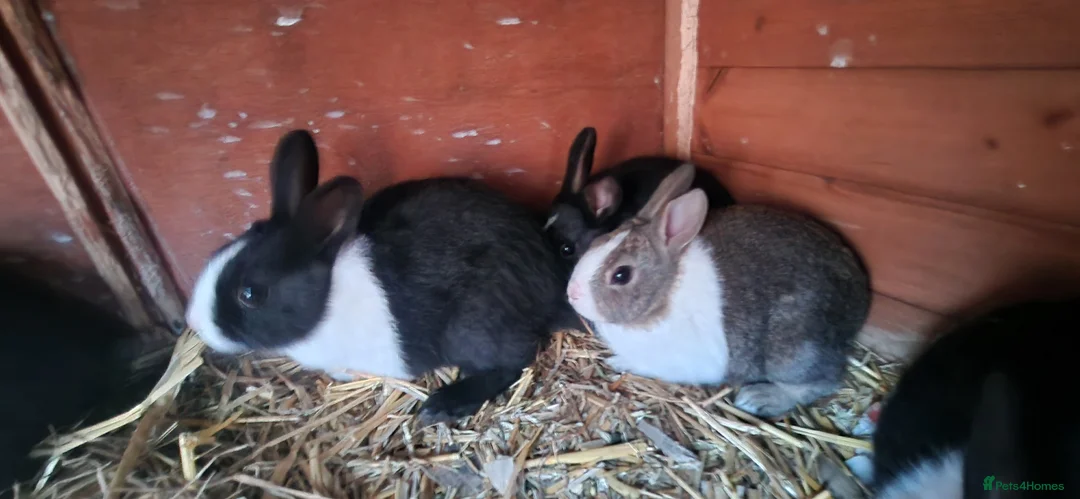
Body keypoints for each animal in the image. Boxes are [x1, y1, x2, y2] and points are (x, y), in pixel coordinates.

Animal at [185, 129, 574, 426]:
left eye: (251, 294)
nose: (195, 324)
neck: (328, 299)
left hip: (476, 325)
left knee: (511, 363)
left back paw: (443, 405)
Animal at [564, 163, 871, 418]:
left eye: (621, 275)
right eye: (600, 240)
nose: (572, 292)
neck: (663, 293)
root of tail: (861, 294)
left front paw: (620, 362)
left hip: (793, 349)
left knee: (822, 380)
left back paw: (759, 398)